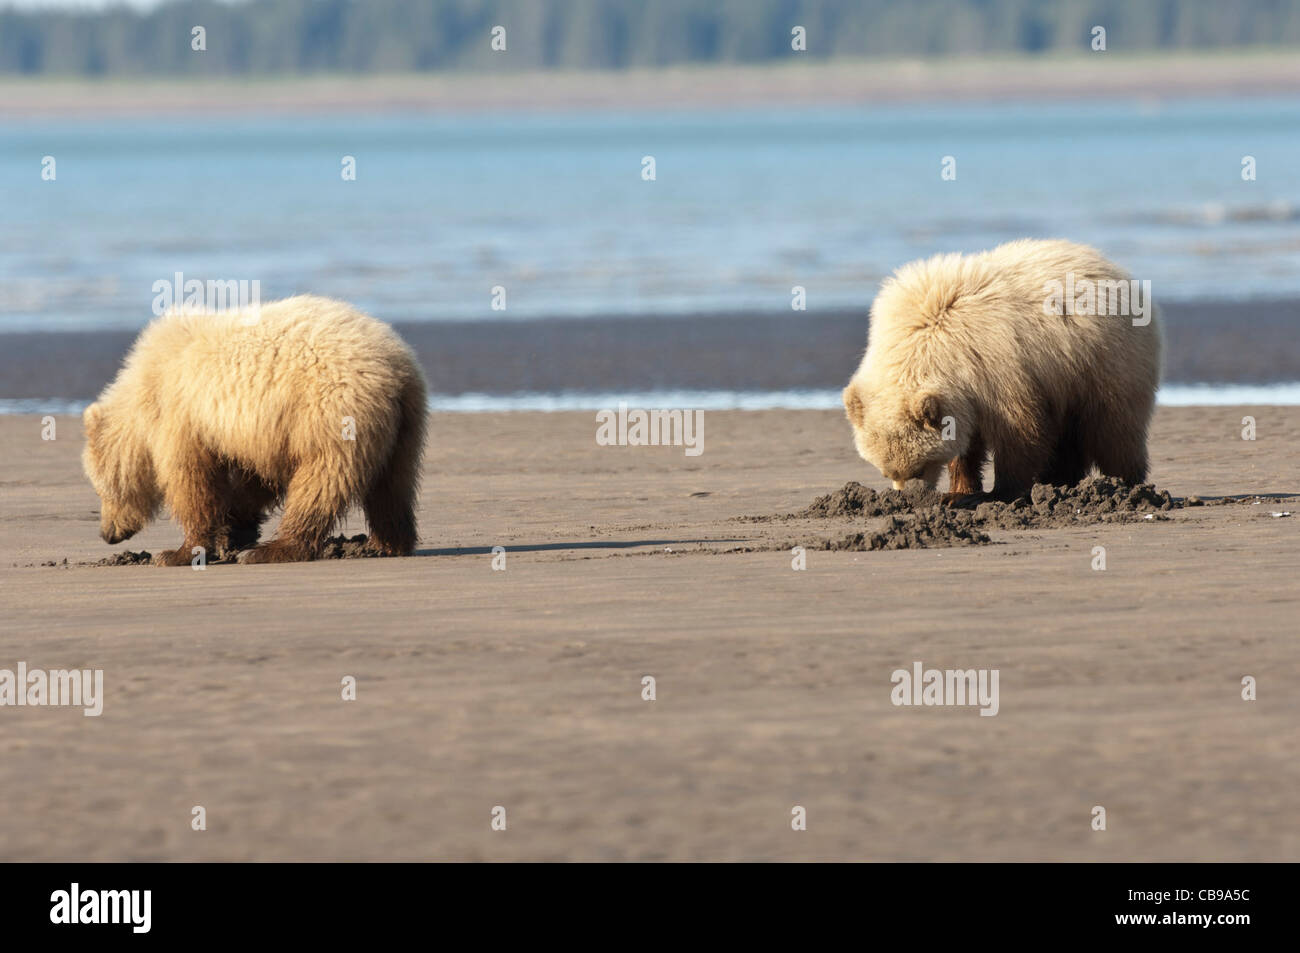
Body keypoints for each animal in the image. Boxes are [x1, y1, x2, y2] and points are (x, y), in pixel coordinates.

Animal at [82, 295, 428, 565]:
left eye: (100, 488)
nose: (106, 533)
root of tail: (397, 368)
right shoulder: (260, 432)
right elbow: (256, 480)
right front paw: (234, 531)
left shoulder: (182, 417)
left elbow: (192, 482)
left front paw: (177, 552)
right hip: (403, 426)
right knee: (393, 484)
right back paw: (388, 542)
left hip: (332, 412)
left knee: (322, 478)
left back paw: (277, 548)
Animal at [842, 239, 1162, 500]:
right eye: (887, 471)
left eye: (920, 467)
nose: (907, 495)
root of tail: (1117, 270)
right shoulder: (967, 388)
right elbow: (966, 442)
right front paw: (959, 490)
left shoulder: (997, 366)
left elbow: (1020, 429)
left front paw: (1002, 491)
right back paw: (1061, 481)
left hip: (1105, 361)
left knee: (1114, 427)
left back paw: (1125, 483)